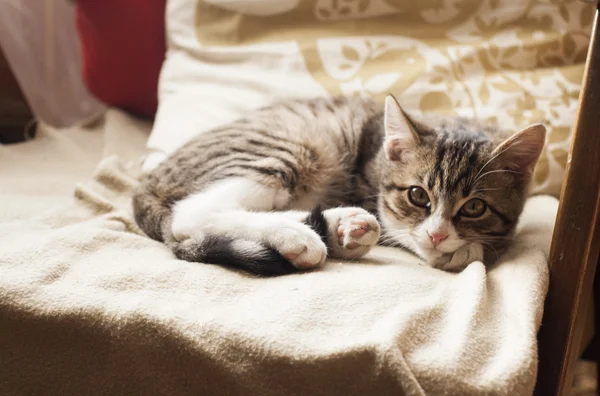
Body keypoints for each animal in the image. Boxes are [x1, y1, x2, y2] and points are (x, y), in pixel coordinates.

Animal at [134, 95, 548, 276]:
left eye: (474, 207)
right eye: (418, 196)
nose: (437, 235)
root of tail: (146, 181)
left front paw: (464, 246)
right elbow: (405, 232)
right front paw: (459, 251)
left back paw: (344, 226)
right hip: (292, 146)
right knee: (191, 215)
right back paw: (297, 235)